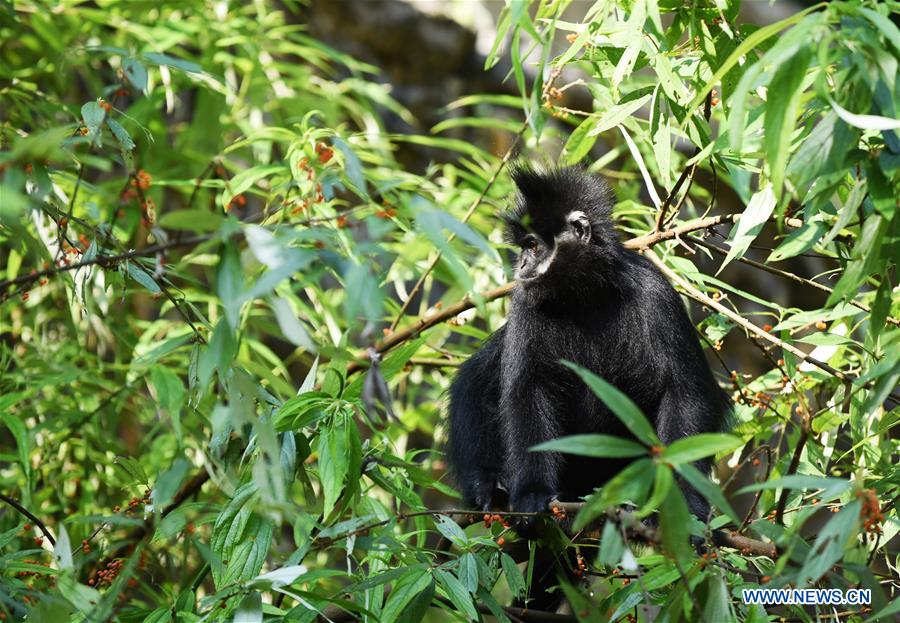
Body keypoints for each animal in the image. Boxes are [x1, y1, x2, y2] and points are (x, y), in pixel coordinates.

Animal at [444, 167, 732, 528]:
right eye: (524, 247)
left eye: (533, 246)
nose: (519, 266)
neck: (585, 296)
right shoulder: (525, 302)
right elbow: (523, 389)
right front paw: (531, 494)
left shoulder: (655, 293)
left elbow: (685, 394)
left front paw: (682, 509)